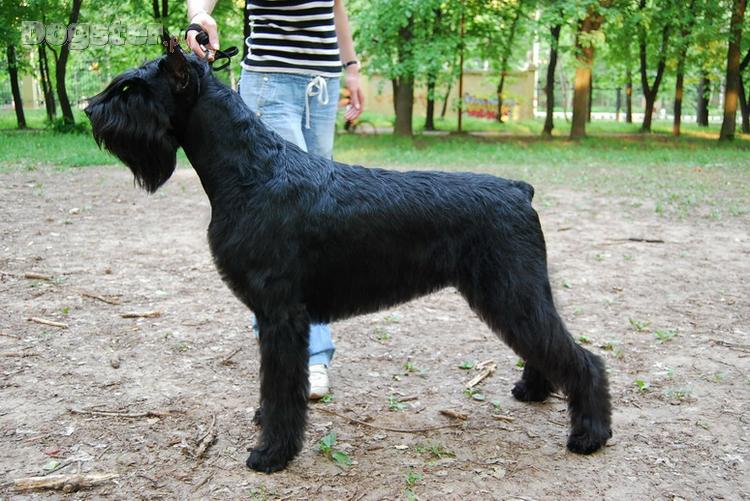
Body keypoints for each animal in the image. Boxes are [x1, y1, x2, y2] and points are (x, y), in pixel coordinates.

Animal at [85, 44, 612, 473]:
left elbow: (280, 385)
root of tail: (520, 190)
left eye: (132, 89)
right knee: (546, 346)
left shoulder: (281, 314)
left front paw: (271, 452)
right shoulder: (279, 316)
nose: (90, 109)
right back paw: (534, 392)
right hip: (512, 293)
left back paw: (590, 434)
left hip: (511, 291)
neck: (252, 171)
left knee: (583, 358)